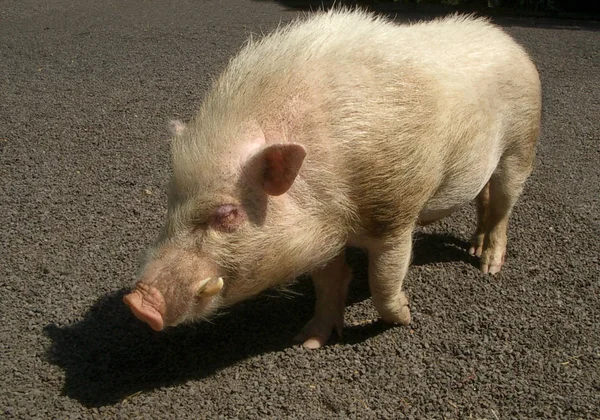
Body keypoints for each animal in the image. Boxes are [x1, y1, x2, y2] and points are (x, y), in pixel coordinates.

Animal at [122, 9, 540, 350]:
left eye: (226, 213)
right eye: (171, 201)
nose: (139, 302)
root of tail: (506, 39)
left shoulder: (395, 213)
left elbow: (383, 281)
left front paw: (405, 317)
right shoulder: (320, 235)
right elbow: (327, 284)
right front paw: (307, 342)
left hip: (522, 143)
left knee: (503, 206)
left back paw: (487, 266)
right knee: (484, 199)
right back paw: (473, 248)